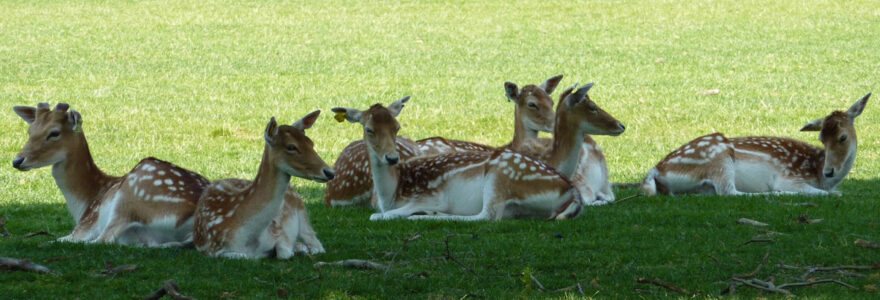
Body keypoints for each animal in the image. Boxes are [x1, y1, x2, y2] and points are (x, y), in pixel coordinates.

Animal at [11, 103, 210, 246]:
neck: (84, 203)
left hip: (129, 199)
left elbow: (62, 239)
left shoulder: (86, 225)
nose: (17, 161)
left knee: (102, 240)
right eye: (30, 131)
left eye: (54, 133)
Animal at [194, 111, 336, 258]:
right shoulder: (213, 249)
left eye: (311, 143)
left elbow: (284, 252)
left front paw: (296, 249)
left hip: (302, 210)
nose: (330, 172)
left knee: (317, 244)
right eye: (291, 147)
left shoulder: (278, 231)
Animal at [644, 94, 868, 197]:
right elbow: (830, 193)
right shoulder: (790, 177)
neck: (817, 173)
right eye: (821, 138)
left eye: (842, 137)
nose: (829, 171)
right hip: (719, 159)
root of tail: (656, 170)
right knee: (729, 192)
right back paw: (774, 193)